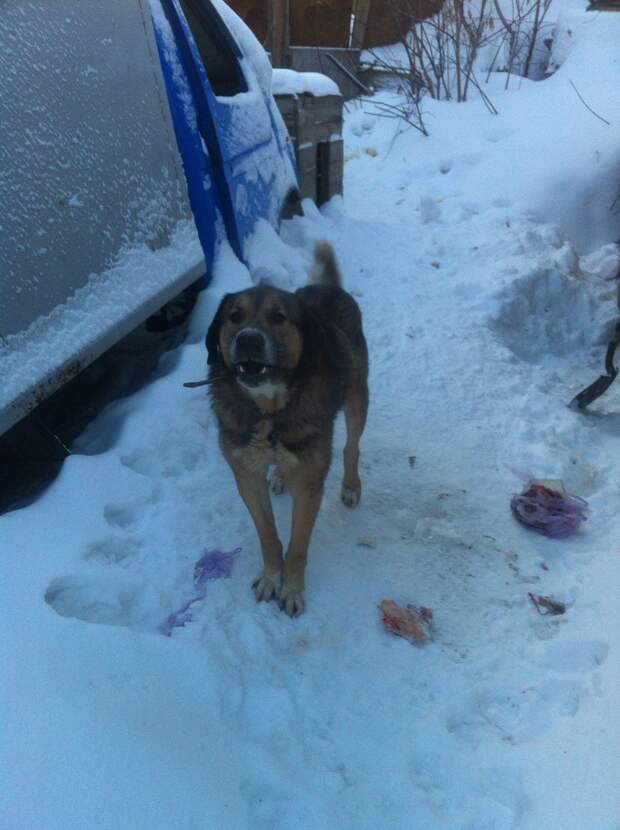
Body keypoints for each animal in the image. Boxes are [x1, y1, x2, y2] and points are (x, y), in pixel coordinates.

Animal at [206, 242, 366, 616]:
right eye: (234, 316)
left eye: (278, 317)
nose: (248, 340)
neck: (269, 410)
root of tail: (327, 287)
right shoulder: (246, 475)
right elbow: (268, 535)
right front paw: (270, 577)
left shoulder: (309, 484)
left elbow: (297, 546)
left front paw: (292, 589)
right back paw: (279, 475)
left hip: (357, 397)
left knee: (352, 445)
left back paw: (351, 485)